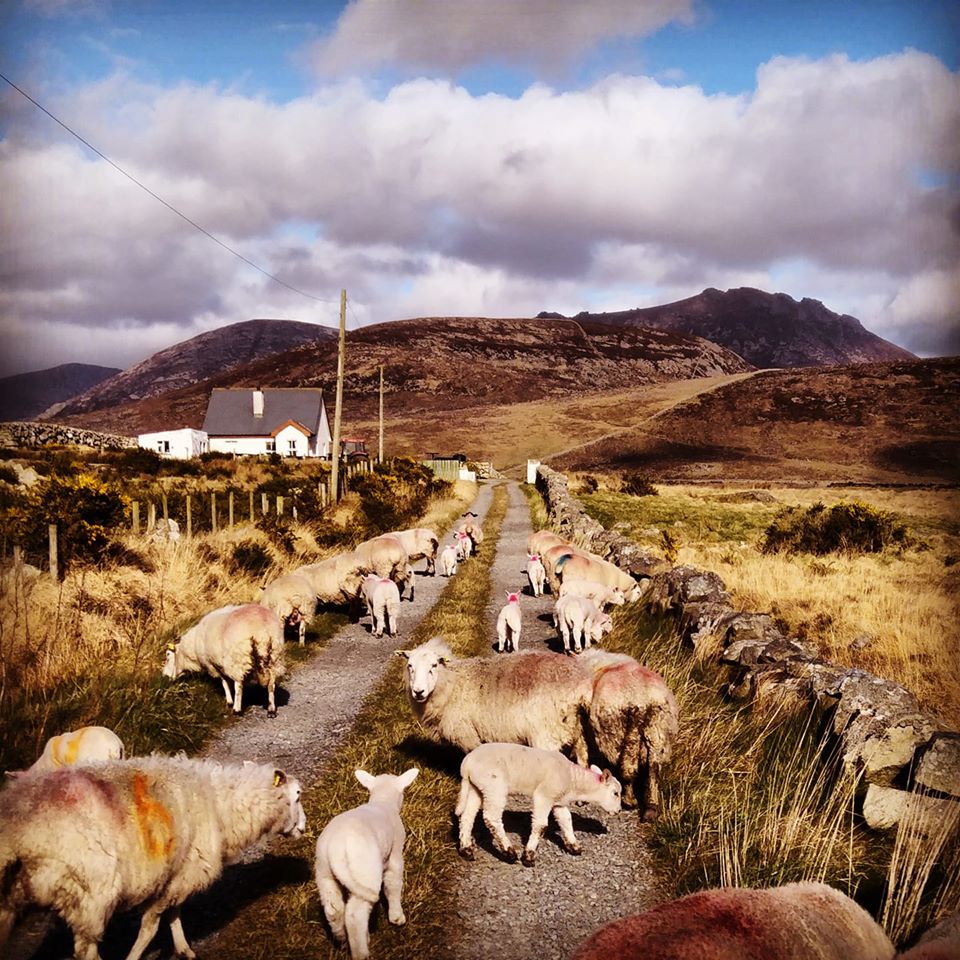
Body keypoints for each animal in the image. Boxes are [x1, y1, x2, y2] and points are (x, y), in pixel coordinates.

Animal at [0, 756, 304, 960]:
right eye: (298, 795)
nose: (304, 827)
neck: (221, 806)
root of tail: (18, 832)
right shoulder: (175, 878)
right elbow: (151, 927)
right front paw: (136, 956)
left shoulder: (177, 875)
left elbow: (174, 914)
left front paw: (184, 949)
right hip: (91, 895)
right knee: (87, 950)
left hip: (14, 902)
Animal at [316, 764, 420, 960]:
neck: (382, 801)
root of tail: (336, 848)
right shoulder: (395, 856)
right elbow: (393, 885)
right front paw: (396, 916)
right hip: (364, 871)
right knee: (355, 915)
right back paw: (361, 951)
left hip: (324, 871)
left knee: (334, 909)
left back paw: (342, 939)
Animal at [456, 744, 624, 872]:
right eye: (615, 793)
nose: (619, 811)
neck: (573, 780)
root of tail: (467, 764)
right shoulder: (544, 795)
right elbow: (541, 825)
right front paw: (529, 856)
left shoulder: (558, 801)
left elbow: (566, 820)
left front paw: (574, 847)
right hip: (494, 786)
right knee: (491, 818)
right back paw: (508, 852)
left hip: (477, 788)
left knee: (467, 816)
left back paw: (466, 849)